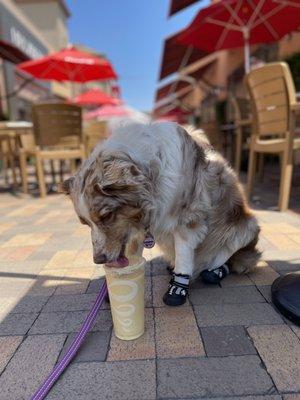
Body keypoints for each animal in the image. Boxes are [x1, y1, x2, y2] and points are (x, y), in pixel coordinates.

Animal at [62, 122, 260, 306]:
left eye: (107, 216)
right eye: (86, 223)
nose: (98, 260)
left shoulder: (188, 219)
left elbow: (184, 255)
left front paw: (177, 288)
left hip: (246, 228)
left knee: (231, 258)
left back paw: (215, 271)